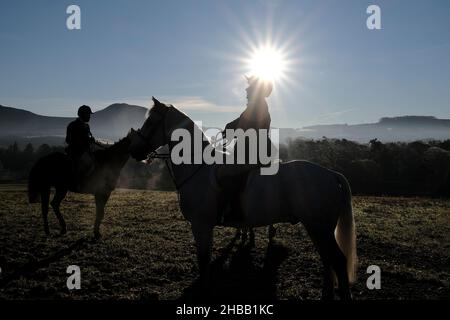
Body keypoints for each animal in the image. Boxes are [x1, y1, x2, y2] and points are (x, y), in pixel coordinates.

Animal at [128, 97, 356, 300]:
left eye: (151, 122)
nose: (134, 150)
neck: (197, 167)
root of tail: (330, 173)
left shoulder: (201, 226)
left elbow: (203, 261)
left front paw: (204, 290)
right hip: (317, 228)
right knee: (327, 260)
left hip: (319, 227)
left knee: (337, 260)